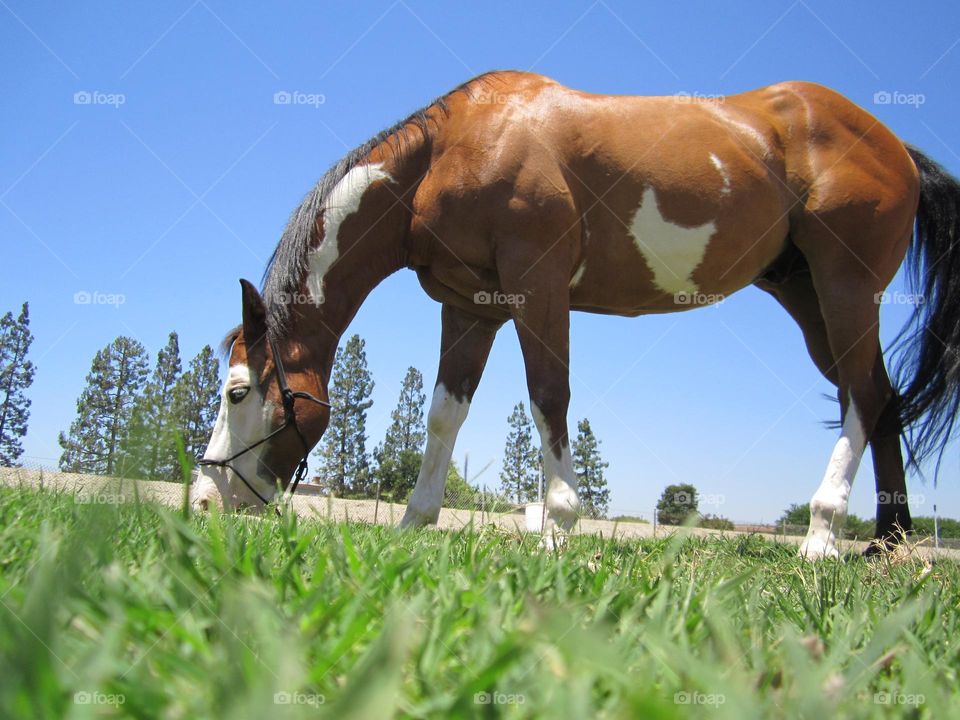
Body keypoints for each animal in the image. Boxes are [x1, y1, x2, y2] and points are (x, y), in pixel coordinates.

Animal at [192, 70, 960, 560]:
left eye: (238, 392)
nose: (201, 502)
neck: (451, 151)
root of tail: (894, 143)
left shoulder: (539, 288)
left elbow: (547, 398)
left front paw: (558, 526)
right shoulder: (470, 308)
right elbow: (445, 415)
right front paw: (414, 523)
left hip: (845, 288)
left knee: (861, 397)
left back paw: (823, 536)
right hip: (809, 298)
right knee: (882, 397)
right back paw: (885, 541)